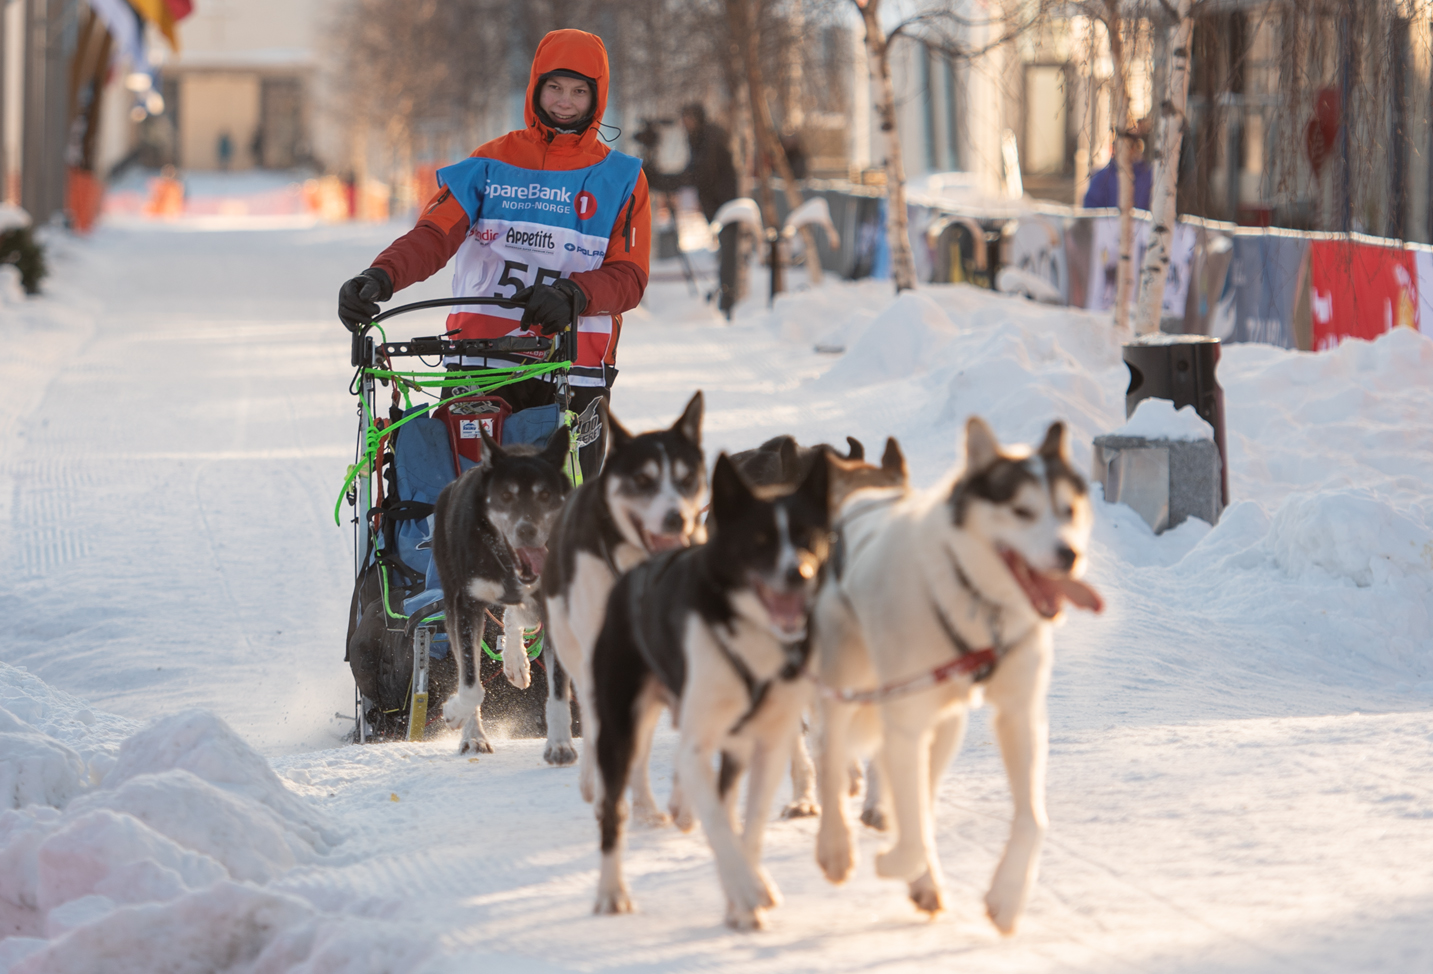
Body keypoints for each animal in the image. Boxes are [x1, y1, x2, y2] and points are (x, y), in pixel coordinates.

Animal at [432, 426, 573, 750]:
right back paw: (473, 734)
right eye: (506, 495)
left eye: (545, 495)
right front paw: (457, 715)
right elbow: (471, 685)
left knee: (518, 616)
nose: (527, 530)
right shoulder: (466, 607)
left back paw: (515, 661)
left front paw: (560, 743)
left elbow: (559, 691)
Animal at [590, 452, 831, 933]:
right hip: (620, 733)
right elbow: (719, 825)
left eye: (806, 537)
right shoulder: (698, 747)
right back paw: (611, 892)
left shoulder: (766, 746)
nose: (798, 573)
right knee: (613, 811)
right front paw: (746, 891)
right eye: (759, 540)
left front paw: (747, 892)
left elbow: (746, 826)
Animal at [813, 418, 1100, 933]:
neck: (980, 607)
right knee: (830, 754)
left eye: (1067, 509)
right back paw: (836, 847)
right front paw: (895, 862)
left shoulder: (1018, 715)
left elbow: (1031, 819)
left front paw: (1007, 896)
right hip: (845, 683)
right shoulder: (905, 723)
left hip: (944, 722)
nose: (1068, 554)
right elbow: (911, 827)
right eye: (1022, 510)